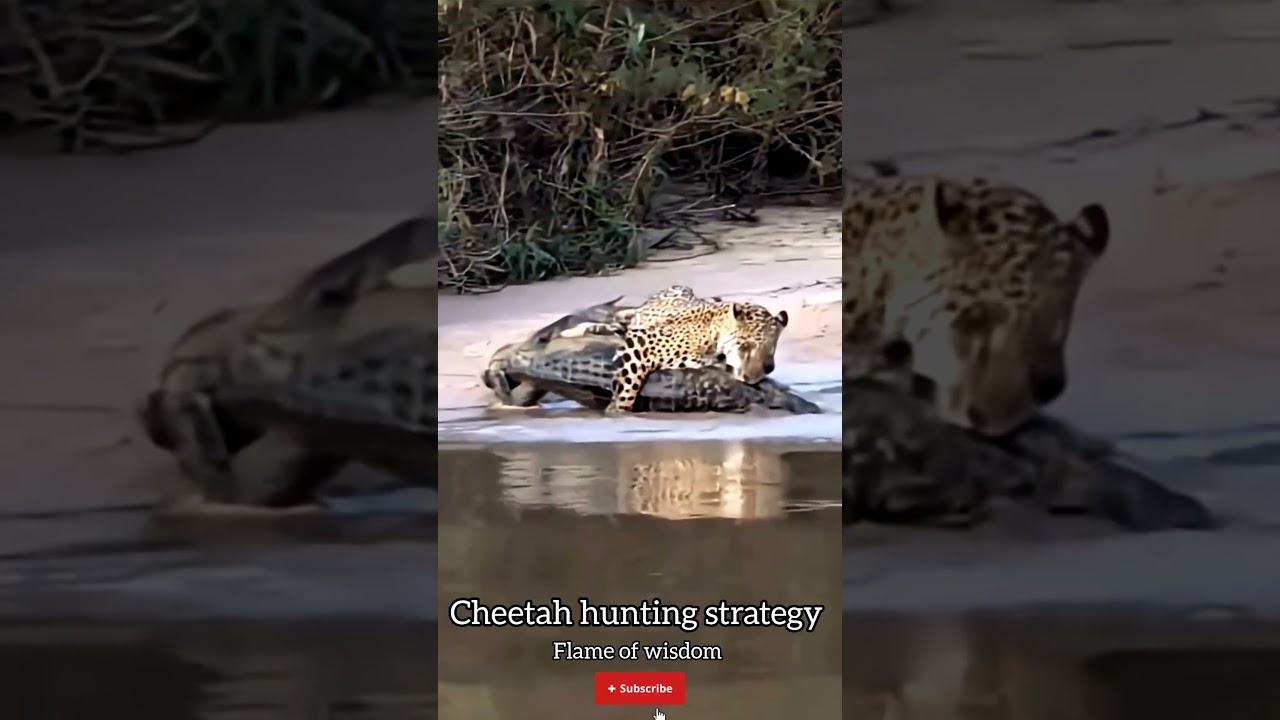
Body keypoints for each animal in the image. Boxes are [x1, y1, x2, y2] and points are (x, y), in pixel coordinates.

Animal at [605, 285, 789, 413]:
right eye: (745, 346)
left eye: (769, 359)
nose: (750, 379)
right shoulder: (641, 345)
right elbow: (628, 387)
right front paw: (617, 411)